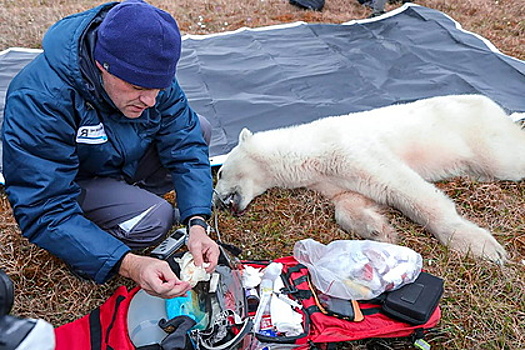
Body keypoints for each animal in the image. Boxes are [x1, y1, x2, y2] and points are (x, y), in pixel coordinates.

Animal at [213, 94, 524, 264]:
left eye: (219, 172)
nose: (216, 200)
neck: (309, 146)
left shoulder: (350, 149)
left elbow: (402, 185)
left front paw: (481, 246)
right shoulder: (328, 177)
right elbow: (349, 200)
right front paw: (378, 230)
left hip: (482, 136)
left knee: (508, 158)